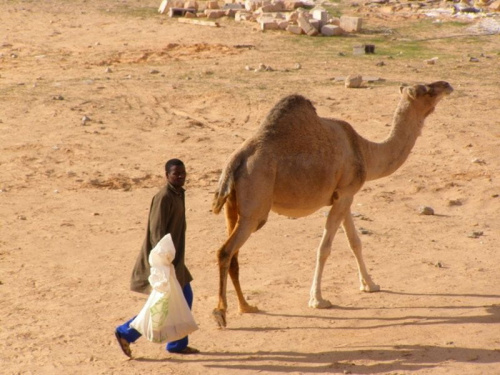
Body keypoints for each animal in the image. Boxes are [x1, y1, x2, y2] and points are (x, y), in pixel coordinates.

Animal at [211, 81, 454, 328]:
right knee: (225, 251)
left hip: (233, 205)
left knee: (234, 254)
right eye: (426, 90)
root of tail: (235, 160)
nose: (447, 85)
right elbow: (325, 248)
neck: (364, 151)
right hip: (256, 207)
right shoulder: (346, 193)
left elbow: (355, 242)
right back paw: (221, 312)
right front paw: (318, 300)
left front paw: (370, 284)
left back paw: (246, 306)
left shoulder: (344, 196)